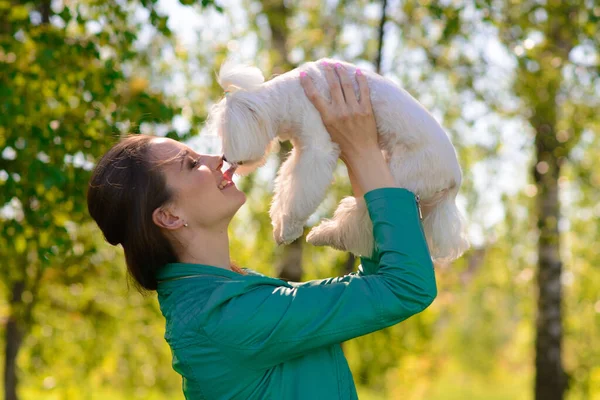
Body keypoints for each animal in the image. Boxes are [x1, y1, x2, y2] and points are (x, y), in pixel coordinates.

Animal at [209, 57, 472, 262]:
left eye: (225, 134)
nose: (223, 157)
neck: (291, 96)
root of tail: (455, 181)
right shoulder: (301, 150)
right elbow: (286, 185)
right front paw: (280, 225)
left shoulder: (316, 149)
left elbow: (299, 193)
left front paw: (288, 230)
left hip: (400, 175)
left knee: (358, 220)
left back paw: (322, 235)